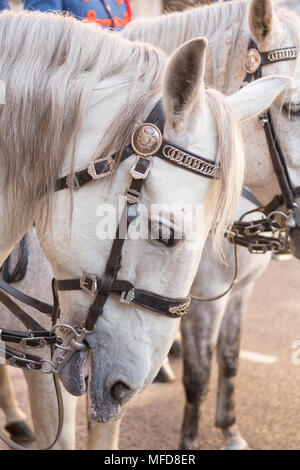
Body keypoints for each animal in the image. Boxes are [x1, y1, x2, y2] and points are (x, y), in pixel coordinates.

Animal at [123, 0, 300, 450]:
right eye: (294, 108)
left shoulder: (241, 291)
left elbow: (230, 358)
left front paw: (230, 429)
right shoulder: (202, 298)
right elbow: (200, 373)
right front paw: (189, 441)